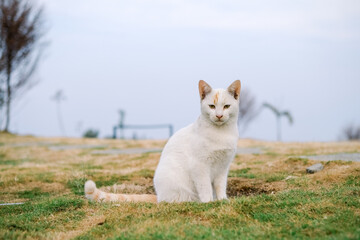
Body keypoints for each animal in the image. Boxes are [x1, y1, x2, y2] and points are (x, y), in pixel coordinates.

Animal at [84, 80, 240, 202]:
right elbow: (205, 188)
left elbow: (220, 187)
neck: (220, 133)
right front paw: (208, 202)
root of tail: (159, 197)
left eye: (226, 106)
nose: (219, 116)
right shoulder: (199, 167)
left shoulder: (222, 168)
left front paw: (221, 201)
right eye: (211, 106)